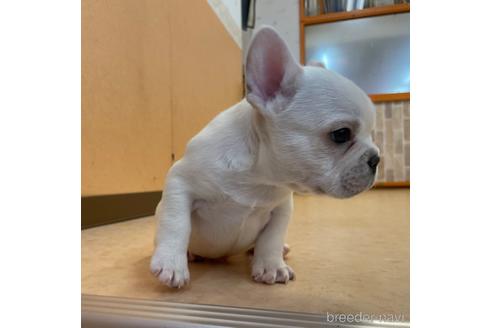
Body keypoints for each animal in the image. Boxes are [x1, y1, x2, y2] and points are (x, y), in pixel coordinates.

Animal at [150, 26, 380, 288]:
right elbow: (176, 223)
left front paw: (272, 266)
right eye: (341, 134)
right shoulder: (181, 182)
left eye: (372, 134)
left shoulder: (282, 208)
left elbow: (272, 238)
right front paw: (172, 263)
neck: (258, 176)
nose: (376, 159)